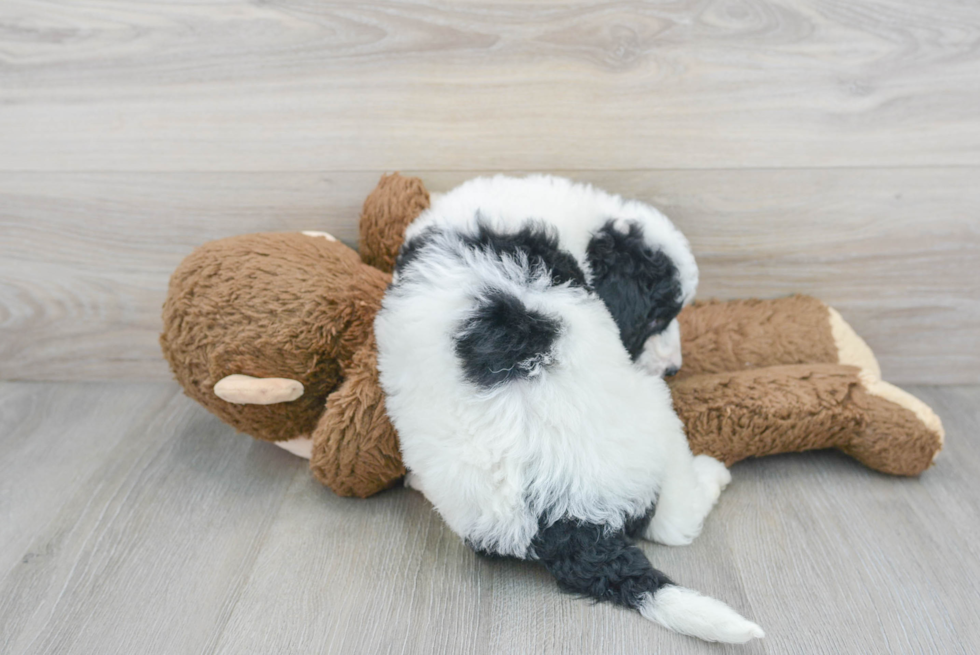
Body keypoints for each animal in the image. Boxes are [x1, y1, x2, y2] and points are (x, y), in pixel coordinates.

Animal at [372, 176, 760, 644]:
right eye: (656, 319)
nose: (673, 369)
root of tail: (564, 518)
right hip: (655, 418)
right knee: (673, 522)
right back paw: (712, 474)